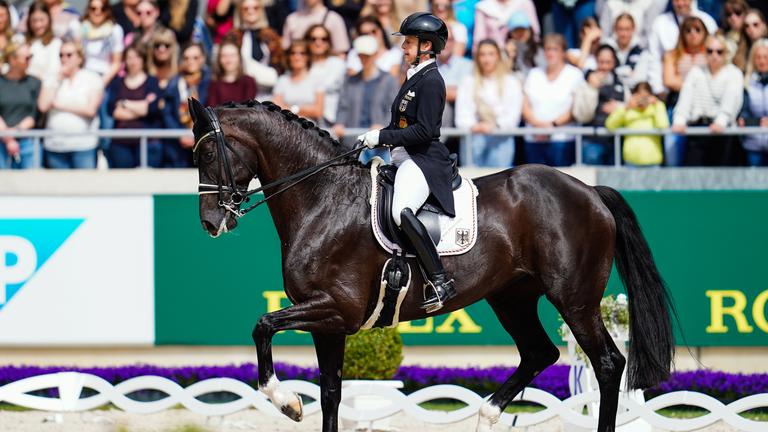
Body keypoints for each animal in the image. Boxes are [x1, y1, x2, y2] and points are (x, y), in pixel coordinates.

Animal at [187, 97, 675, 432]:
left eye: (207, 154)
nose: (211, 223)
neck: (322, 199)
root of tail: (590, 192)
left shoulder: (336, 309)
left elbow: (263, 326)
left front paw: (286, 402)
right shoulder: (330, 324)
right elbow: (330, 392)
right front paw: (297, 402)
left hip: (574, 300)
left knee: (608, 363)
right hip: (512, 297)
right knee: (541, 352)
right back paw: (487, 415)